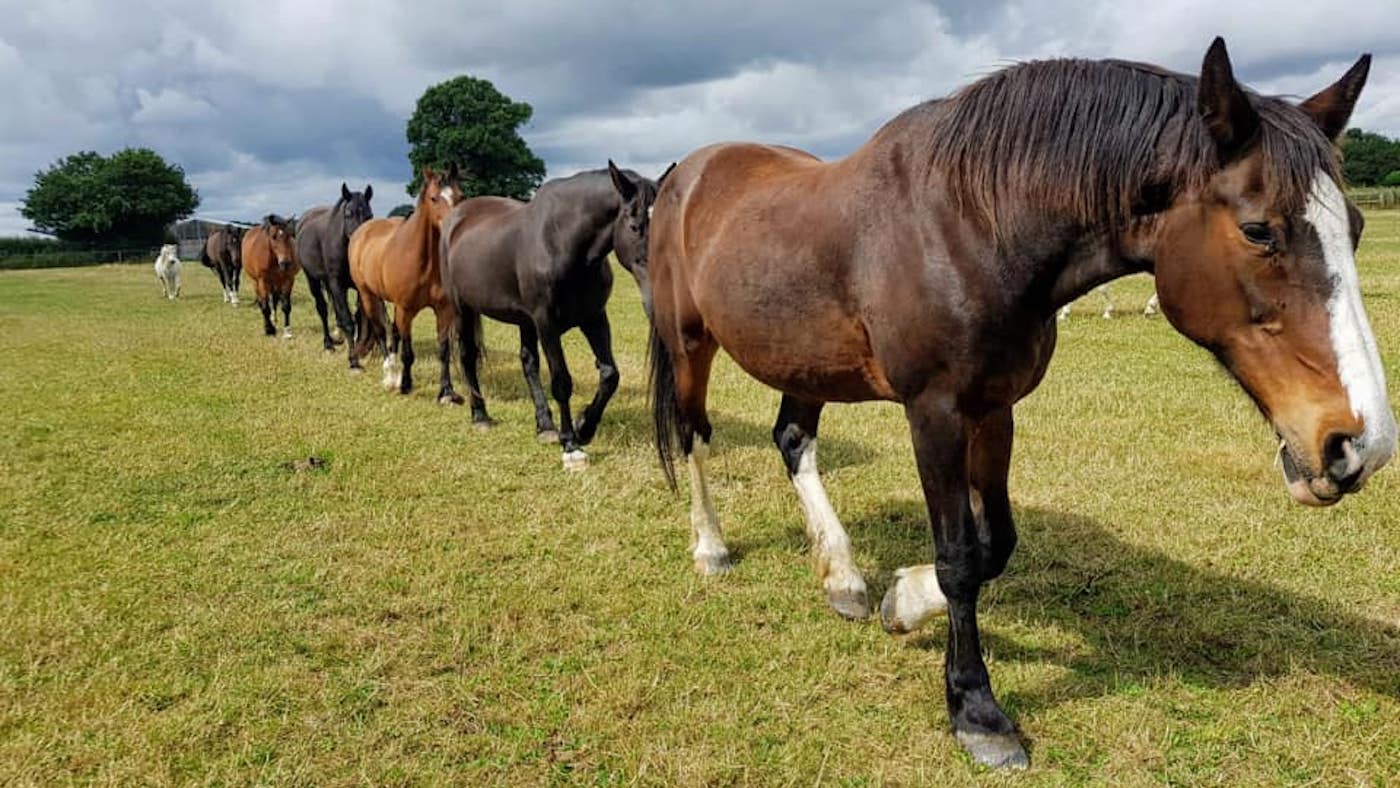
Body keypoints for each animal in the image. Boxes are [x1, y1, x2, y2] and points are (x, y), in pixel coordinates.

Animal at [297, 184, 374, 361]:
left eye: (370, 215)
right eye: (348, 214)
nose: (360, 242)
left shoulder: (355, 286)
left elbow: (360, 316)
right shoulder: (337, 283)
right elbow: (348, 320)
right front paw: (353, 358)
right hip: (313, 279)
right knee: (323, 309)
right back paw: (328, 344)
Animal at [347, 167, 462, 400]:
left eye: (460, 196)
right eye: (433, 198)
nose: (452, 227)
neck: (424, 262)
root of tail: (362, 231)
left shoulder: (443, 311)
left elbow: (443, 351)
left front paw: (446, 392)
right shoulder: (407, 310)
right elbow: (408, 353)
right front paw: (405, 385)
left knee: (392, 331)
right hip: (368, 295)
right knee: (380, 332)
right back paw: (390, 375)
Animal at [440, 161, 665, 470]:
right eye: (635, 227)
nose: (657, 299)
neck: (561, 241)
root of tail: (457, 216)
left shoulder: (594, 318)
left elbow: (610, 374)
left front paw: (584, 427)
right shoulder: (546, 323)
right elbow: (561, 381)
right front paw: (571, 445)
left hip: (524, 321)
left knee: (528, 363)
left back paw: (545, 425)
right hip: (463, 308)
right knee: (467, 356)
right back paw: (480, 416)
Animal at [644, 40, 1394, 769]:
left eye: (1355, 227)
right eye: (1259, 230)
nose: (1359, 445)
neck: (974, 226)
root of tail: (685, 174)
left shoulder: (994, 409)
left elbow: (994, 544)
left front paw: (902, 600)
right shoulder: (935, 413)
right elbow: (958, 556)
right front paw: (977, 711)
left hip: (805, 359)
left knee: (794, 440)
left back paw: (844, 578)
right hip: (690, 345)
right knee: (694, 436)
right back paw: (711, 547)